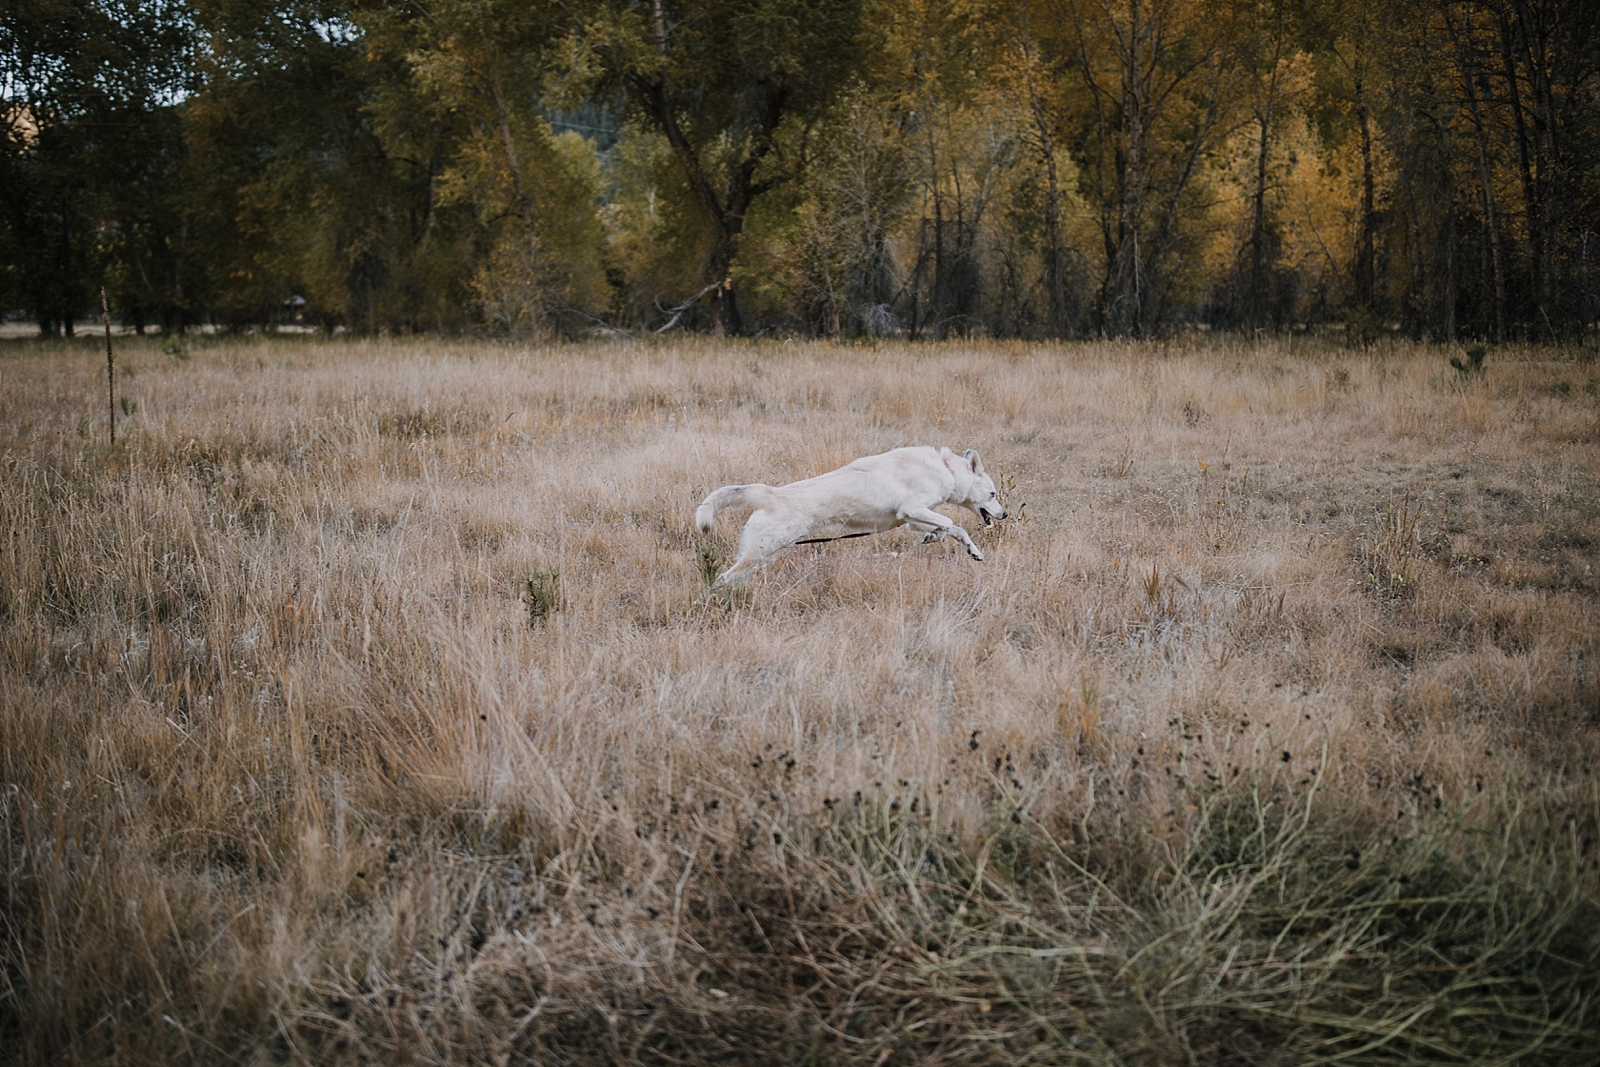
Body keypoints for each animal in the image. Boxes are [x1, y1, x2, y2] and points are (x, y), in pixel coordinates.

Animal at [694, 447, 1004, 588]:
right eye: (992, 493)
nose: (1005, 514)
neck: (945, 469)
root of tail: (770, 494)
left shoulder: (911, 519)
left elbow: (956, 530)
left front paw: (969, 550)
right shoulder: (912, 510)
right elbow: (950, 523)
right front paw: (937, 535)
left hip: (767, 554)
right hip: (762, 552)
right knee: (722, 577)